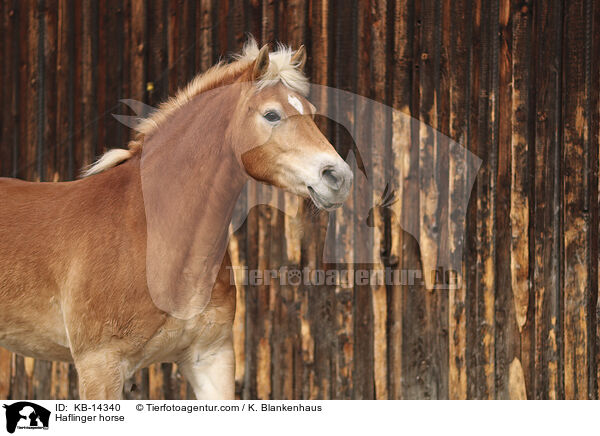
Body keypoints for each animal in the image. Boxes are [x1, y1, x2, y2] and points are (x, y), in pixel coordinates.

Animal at [0, 39, 352, 400]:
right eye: (271, 114)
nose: (338, 177)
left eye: (311, 112)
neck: (152, 232)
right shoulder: (99, 367)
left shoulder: (211, 357)